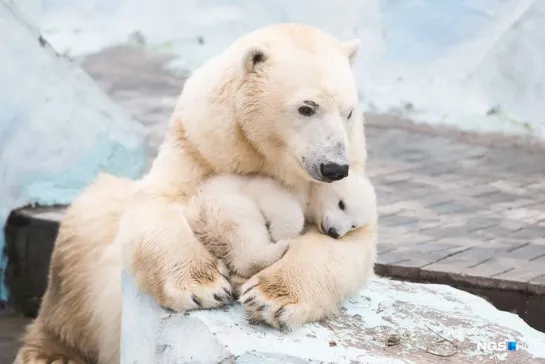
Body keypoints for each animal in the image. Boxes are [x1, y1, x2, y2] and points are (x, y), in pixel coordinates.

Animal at [15, 23, 374, 364]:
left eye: (348, 111)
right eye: (306, 108)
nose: (334, 167)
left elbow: (345, 245)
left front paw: (270, 297)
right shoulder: (196, 146)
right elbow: (158, 206)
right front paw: (205, 287)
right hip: (88, 262)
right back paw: (51, 354)